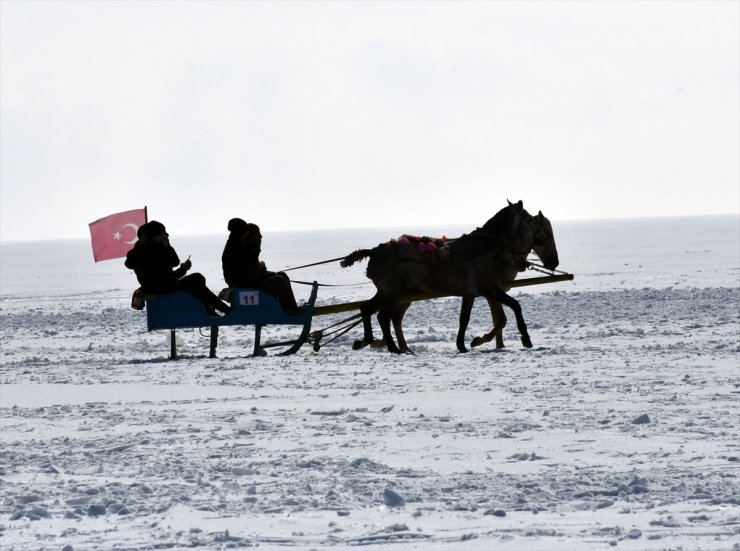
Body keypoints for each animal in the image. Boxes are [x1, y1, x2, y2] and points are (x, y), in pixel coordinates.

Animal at [338, 202, 556, 354]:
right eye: (532, 222)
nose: (554, 261)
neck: (489, 250)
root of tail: (375, 251)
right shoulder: (490, 288)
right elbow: (514, 307)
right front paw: (525, 338)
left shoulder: (471, 293)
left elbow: (464, 319)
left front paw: (462, 345)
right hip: (394, 292)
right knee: (383, 316)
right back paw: (393, 348)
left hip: (390, 292)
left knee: (368, 308)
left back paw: (367, 341)